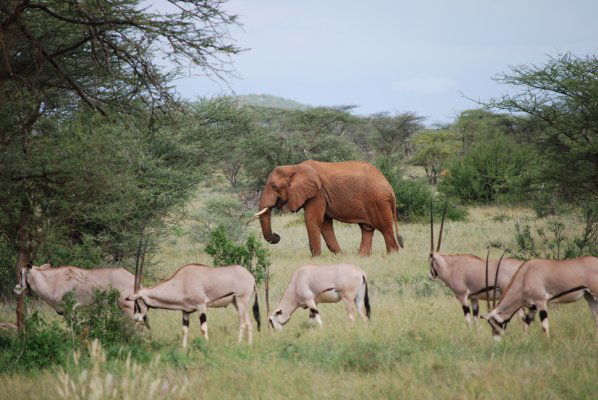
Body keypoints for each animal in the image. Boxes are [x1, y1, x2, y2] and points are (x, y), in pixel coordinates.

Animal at [255, 159, 406, 256]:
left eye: (274, 186)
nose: (277, 235)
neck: (294, 167)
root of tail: (389, 187)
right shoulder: (320, 195)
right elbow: (325, 224)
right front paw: (339, 255)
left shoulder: (317, 193)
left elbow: (312, 220)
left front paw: (315, 258)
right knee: (367, 229)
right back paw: (361, 256)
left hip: (378, 201)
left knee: (385, 228)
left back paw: (392, 255)